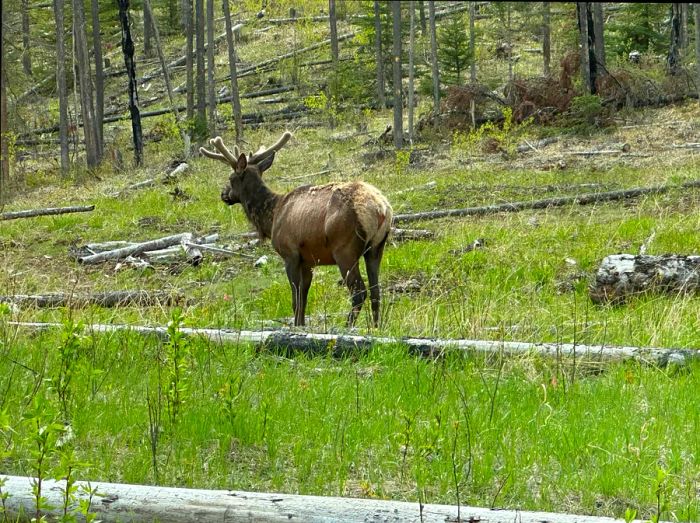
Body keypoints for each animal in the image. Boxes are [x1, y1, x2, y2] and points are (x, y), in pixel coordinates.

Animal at [198, 131, 394, 328]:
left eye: (231, 178)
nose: (223, 194)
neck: (271, 218)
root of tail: (380, 208)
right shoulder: (308, 261)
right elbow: (304, 297)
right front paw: (301, 324)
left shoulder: (290, 254)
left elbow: (295, 298)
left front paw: (296, 326)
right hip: (377, 247)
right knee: (376, 290)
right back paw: (376, 327)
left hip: (345, 249)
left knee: (359, 291)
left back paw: (348, 326)